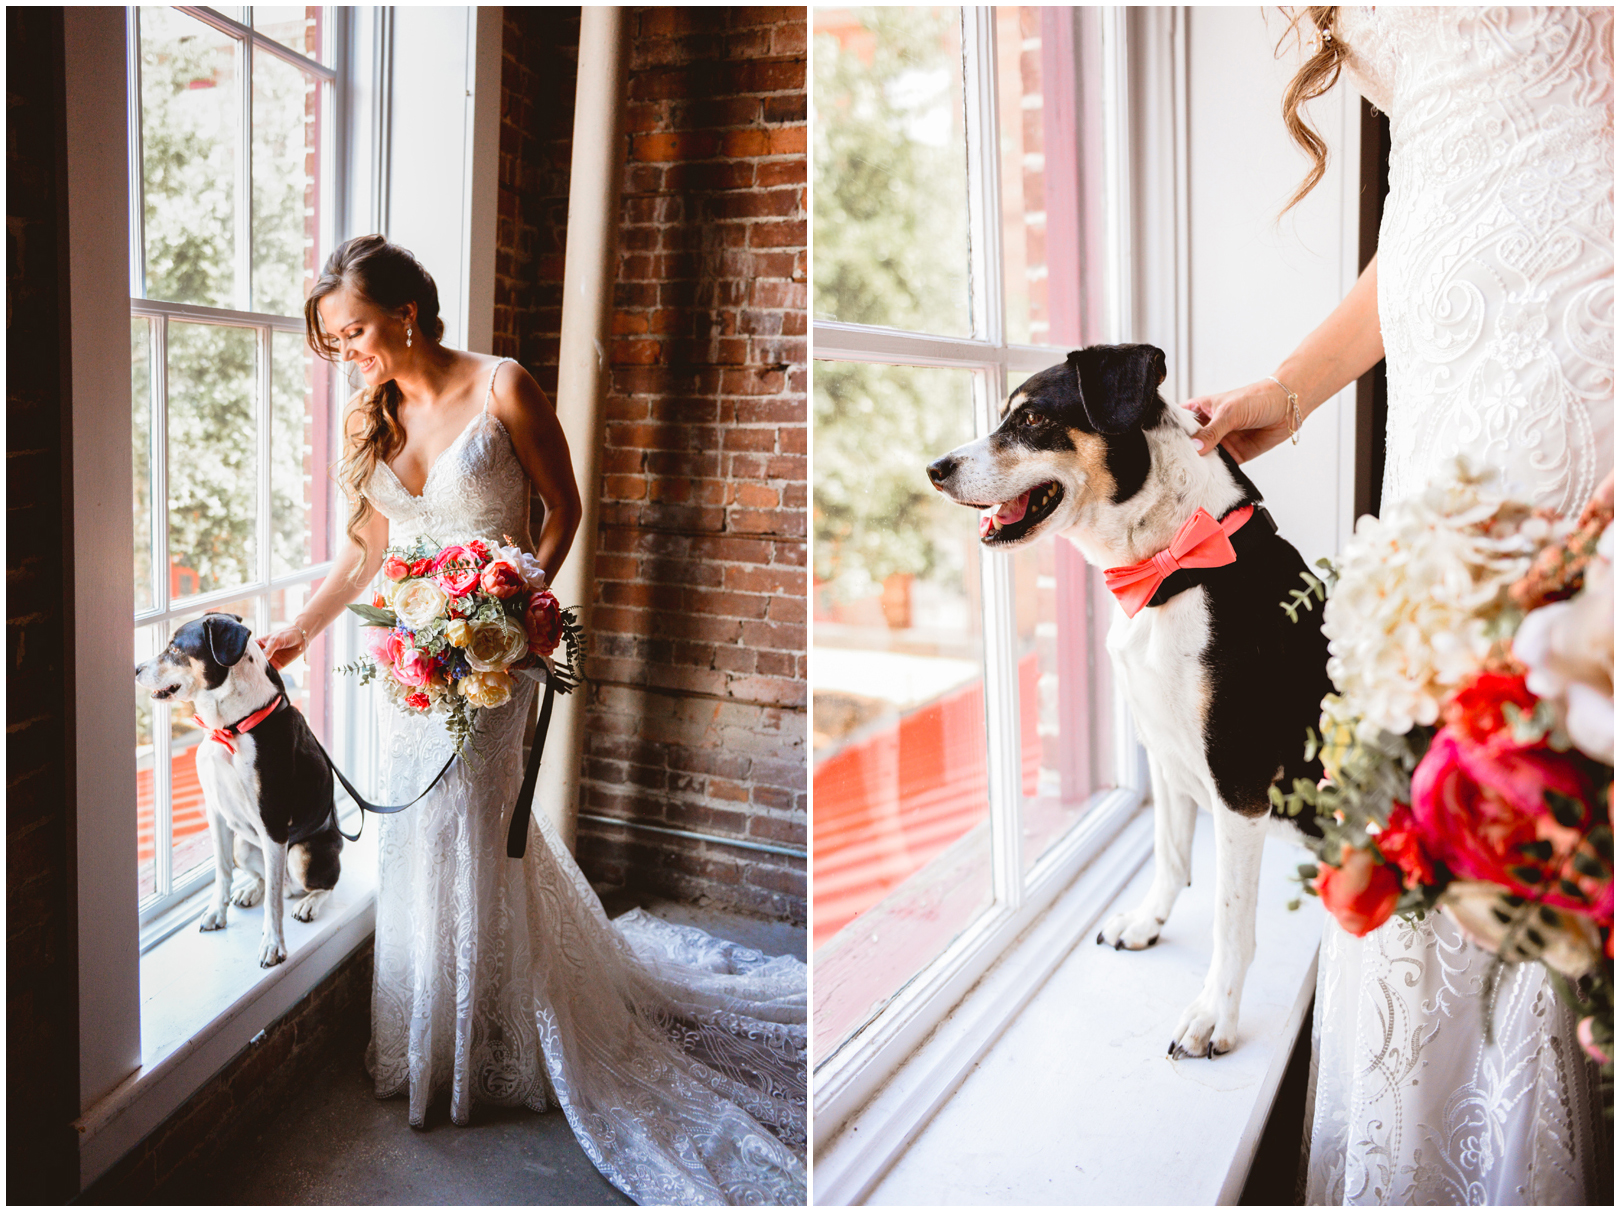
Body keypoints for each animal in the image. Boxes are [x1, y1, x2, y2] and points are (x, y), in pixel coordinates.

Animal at [136, 615, 341, 965]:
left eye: (175, 649)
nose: (136, 668)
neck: (231, 728)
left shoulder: (273, 823)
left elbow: (274, 902)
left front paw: (273, 945)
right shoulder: (217, 812)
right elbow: (222, 872)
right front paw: (216, 913)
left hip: (303, 853)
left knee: (317, 884)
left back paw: (308, 903)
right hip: (244, 846)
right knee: (268, 879)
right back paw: (249, 891)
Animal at [926, 343, 1328, 1062]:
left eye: (1032, 419)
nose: (935, 469)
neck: (1171, 570)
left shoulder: (1238, 780)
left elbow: (1231, 919)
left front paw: (1213, 1015)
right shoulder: (1164, 749)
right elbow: (1169, 855)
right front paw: (1146, 923)